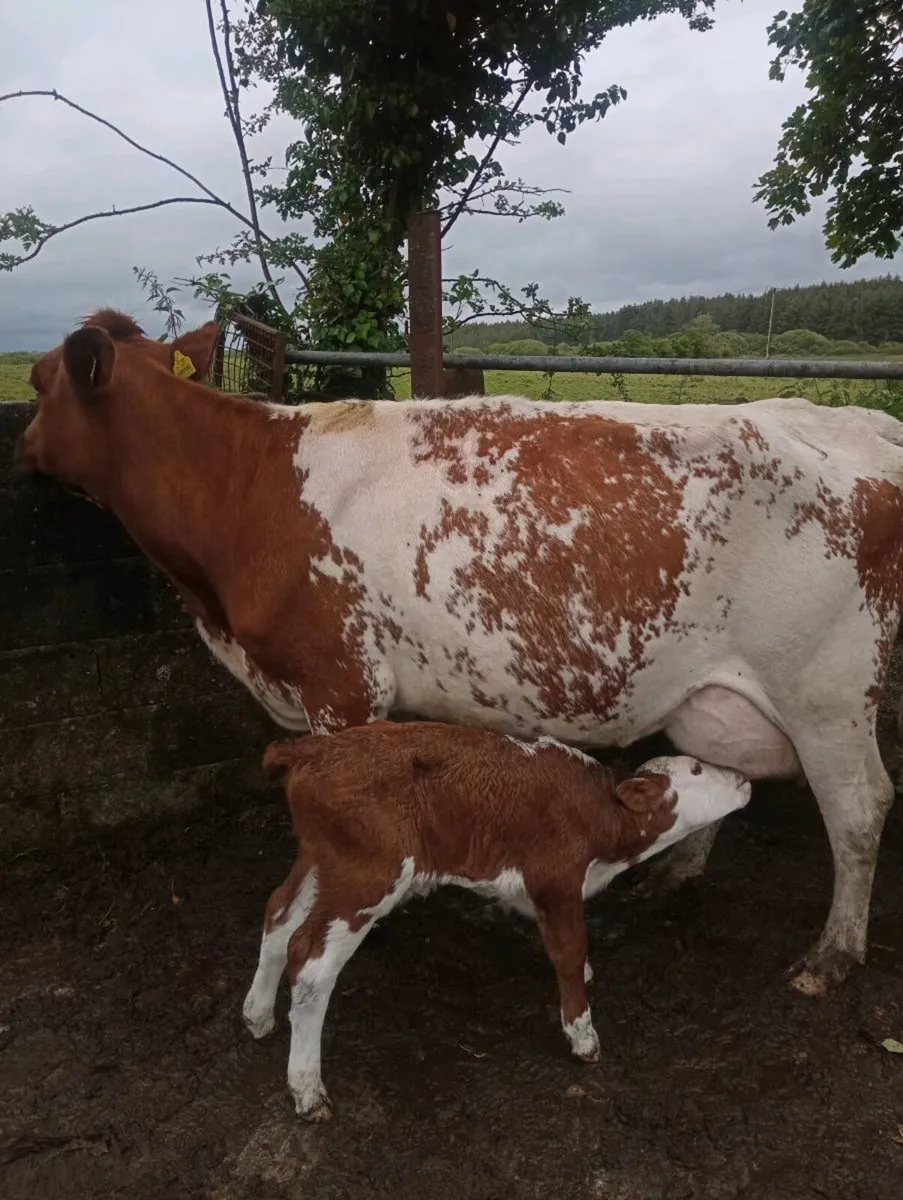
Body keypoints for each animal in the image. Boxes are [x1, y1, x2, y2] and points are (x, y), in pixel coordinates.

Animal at [13, 309, 903, 997]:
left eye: (39, 381)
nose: (20, 445)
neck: (244, 490)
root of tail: (860, 423)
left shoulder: (340, 684)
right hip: (723, 690)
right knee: (729, 767)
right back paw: (678, 874)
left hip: (824, 691)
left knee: (860, 807)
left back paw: (831, 956)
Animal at [245, 722, 752, 1119]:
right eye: (697, 769)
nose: (745, 776)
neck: (602, 823)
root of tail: (315, 748)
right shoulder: (555, 879)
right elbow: (569, 952)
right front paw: (583, 1036)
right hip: (368, 874)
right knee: (311, 962)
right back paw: (308, 1090)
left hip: (322, 861)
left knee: (279, 914)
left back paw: (257, 1015)